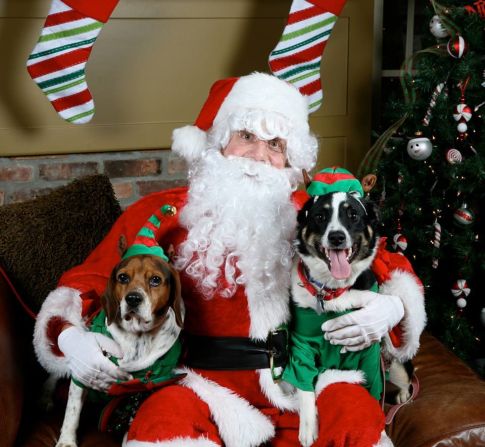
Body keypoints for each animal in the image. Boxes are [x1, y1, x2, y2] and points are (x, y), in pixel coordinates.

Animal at [288, 192, 408, 447]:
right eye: (320, 216)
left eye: (353, 215)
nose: (336, 237)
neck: (331, 292)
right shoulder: (301, 345)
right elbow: (304, 385)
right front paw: (308, 426)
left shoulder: (369, 354)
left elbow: (374, 393)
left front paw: (381, 434)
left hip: (393, 363)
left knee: (405, 375)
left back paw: (403, 394)